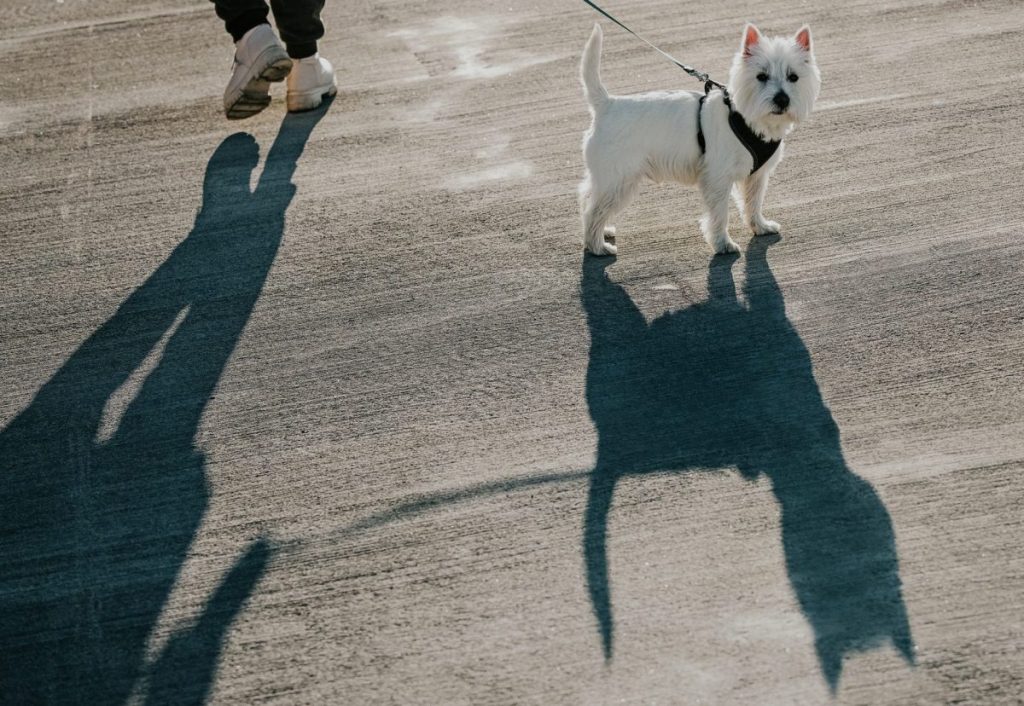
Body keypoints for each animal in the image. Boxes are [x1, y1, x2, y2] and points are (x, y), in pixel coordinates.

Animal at [581, 23, 819, 255]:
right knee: (593, 212)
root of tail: (607, 104)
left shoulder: (756, 176)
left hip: (608, 178)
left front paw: (760, 226)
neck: (750, 119)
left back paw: (605, 231)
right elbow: (720, 214)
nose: (782, 99)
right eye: (762, 76)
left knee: (587, 199)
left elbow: (753, 203)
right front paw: (723, 244)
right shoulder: (717, 178)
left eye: (793, 77)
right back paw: (598, 246)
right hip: (618, 179)